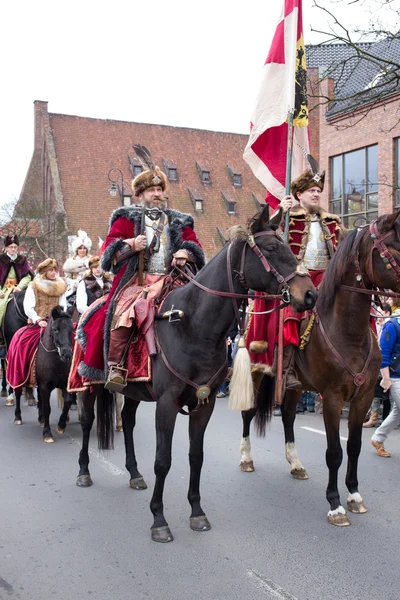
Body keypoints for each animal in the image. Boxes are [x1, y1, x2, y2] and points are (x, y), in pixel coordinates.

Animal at [12, 308, 74, 442]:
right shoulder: (45, 386)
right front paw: (47, 433)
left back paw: (41, 419)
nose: (67, 354)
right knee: (18, 393)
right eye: (55, 329)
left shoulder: (64, 384)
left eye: (72, 329)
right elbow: (47, 408)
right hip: (17, 377)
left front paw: (61, 425)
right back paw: (18, 417)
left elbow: (67, 402)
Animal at [74, 207, 318, 544]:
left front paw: (197, 512)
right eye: (271, 248)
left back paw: (134, 474)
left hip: (134, 391)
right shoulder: (167, 404)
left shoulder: (204, 403)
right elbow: (163, 460)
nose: (309, 295)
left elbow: (195, 456)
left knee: (130, 423)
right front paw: (159, 519)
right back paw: (84, 472)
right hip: (89, 384)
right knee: (87, 422)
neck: (194, 325)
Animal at [239, 210, 400, 524]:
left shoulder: (362, 397)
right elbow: (334, 451)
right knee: (248, 413)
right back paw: (246, 458)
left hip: (293, 386)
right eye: (395, 248)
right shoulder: (333, 398)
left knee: (288, 416)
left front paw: (354, 494)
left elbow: (353, 446)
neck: (348, 331)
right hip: (257, 371)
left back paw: (295, 463)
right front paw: (335, 503)